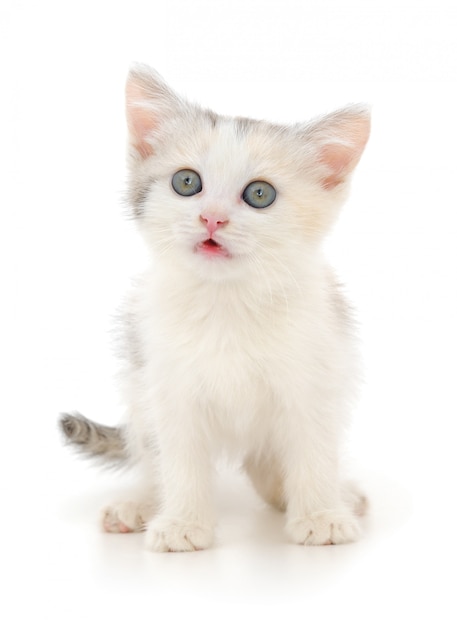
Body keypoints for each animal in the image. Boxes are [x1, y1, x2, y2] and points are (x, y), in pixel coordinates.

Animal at [58, 64, 368, 552]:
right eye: (187, 182)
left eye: (260, 194)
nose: (212, 218)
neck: (227, 301)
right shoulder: (167, 384)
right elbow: (178, 459)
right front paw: (183, 522)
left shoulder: (314, 374)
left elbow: (313, 449)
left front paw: (321, 513)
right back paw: (141, 504)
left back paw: (322, 494)